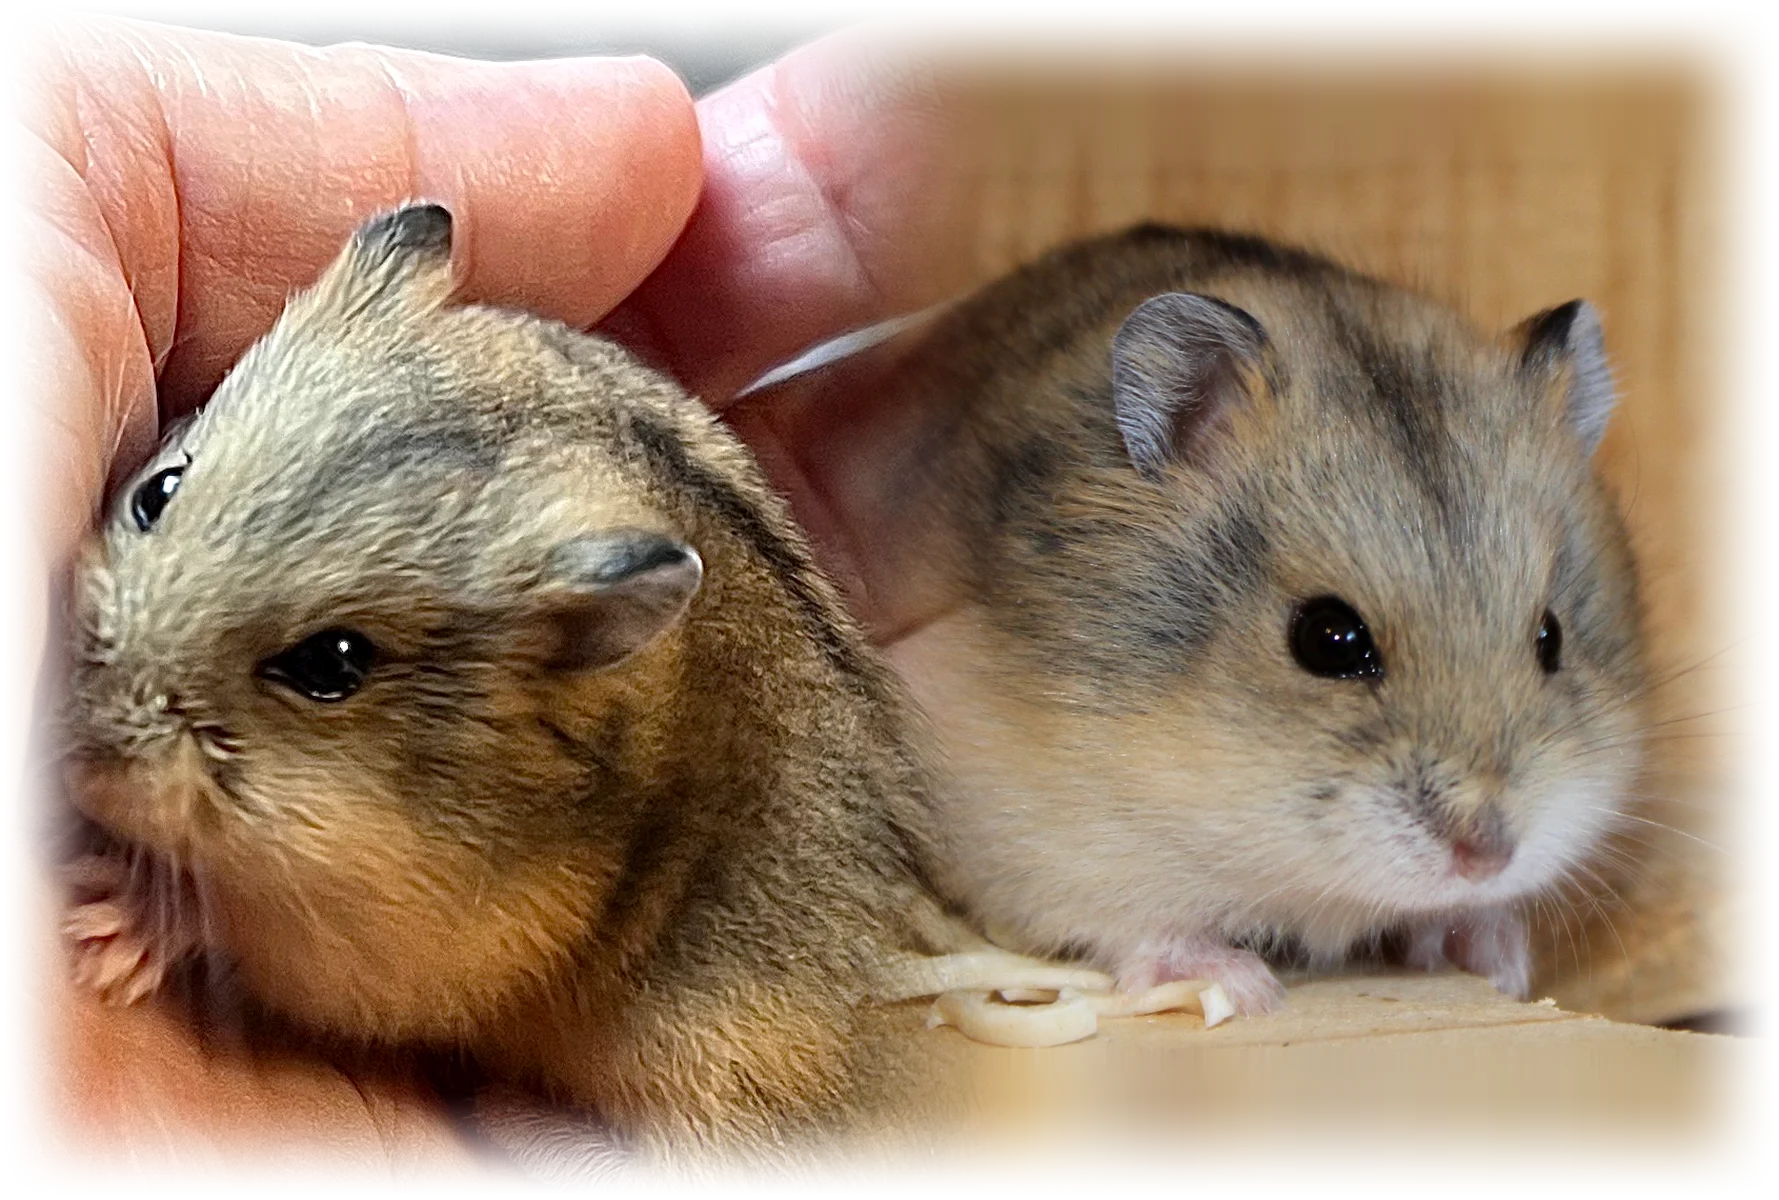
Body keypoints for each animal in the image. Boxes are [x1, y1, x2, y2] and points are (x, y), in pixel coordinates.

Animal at [875, 225, 1647, 1012]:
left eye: (1551, 637)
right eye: (1328, 640)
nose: (1486, 855)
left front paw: (1498, 959)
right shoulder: (1040, 838)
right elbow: (1138, 925)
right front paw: (1245, 988)